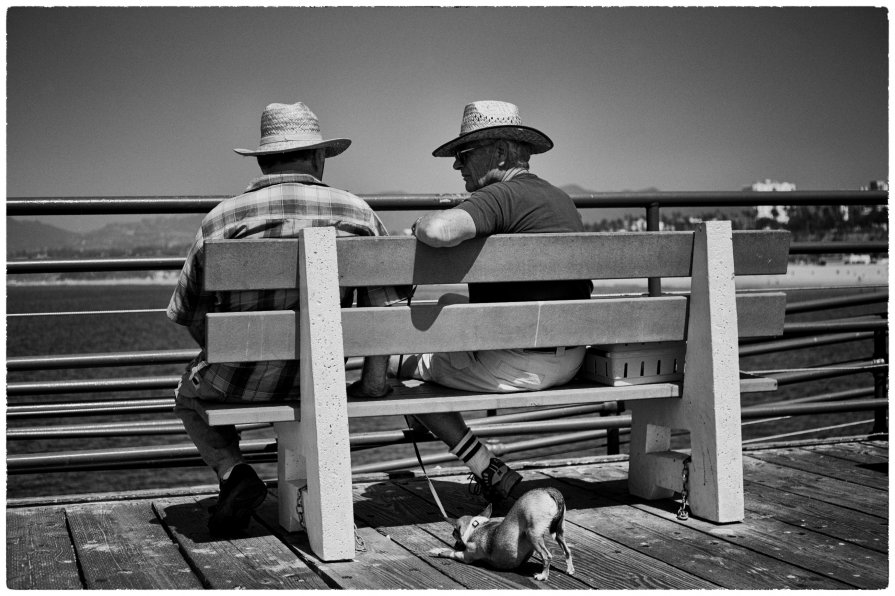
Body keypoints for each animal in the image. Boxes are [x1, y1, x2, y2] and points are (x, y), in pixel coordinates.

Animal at [430, 486, 576, 580]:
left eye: (454, 533)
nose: (455, 543)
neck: (476, 526)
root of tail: (549, 491)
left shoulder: (466, 556)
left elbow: (452, 553)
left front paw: (439, 551)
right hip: (558, 531)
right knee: (567, 550)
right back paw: (570, 569)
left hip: (533, 535)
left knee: (547, 556)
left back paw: (543, 576)